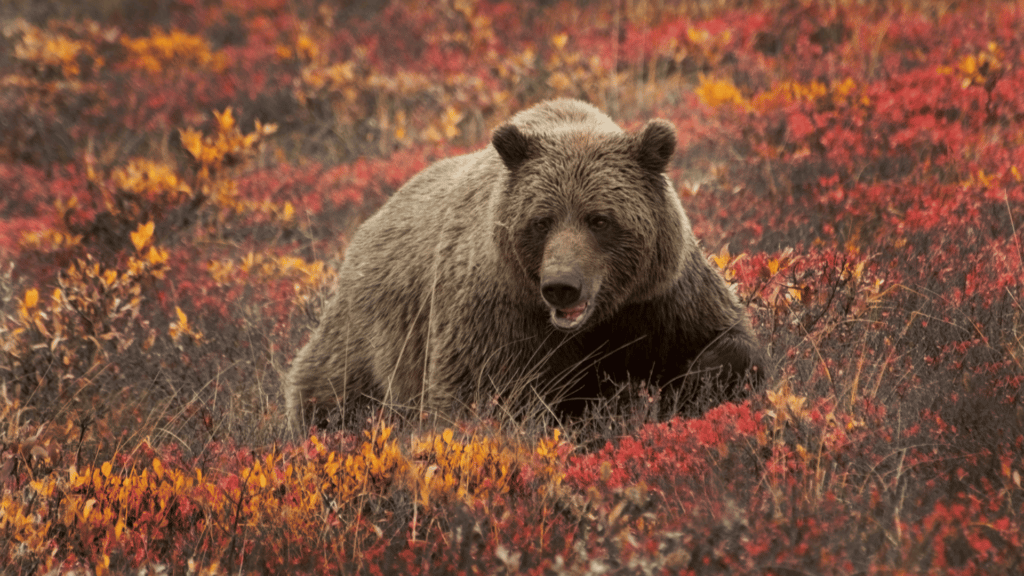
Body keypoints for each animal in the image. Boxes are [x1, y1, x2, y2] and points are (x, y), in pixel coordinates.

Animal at [284, 98, 765, 430]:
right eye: (542, 219)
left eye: (600, 218)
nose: (562, 285)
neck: (596, 321)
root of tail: (368, 224)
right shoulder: (499, 314)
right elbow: (478, 398)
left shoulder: (661, 297)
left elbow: (729, 341)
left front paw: (696, 381)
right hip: (368, 337)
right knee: (331, 391)